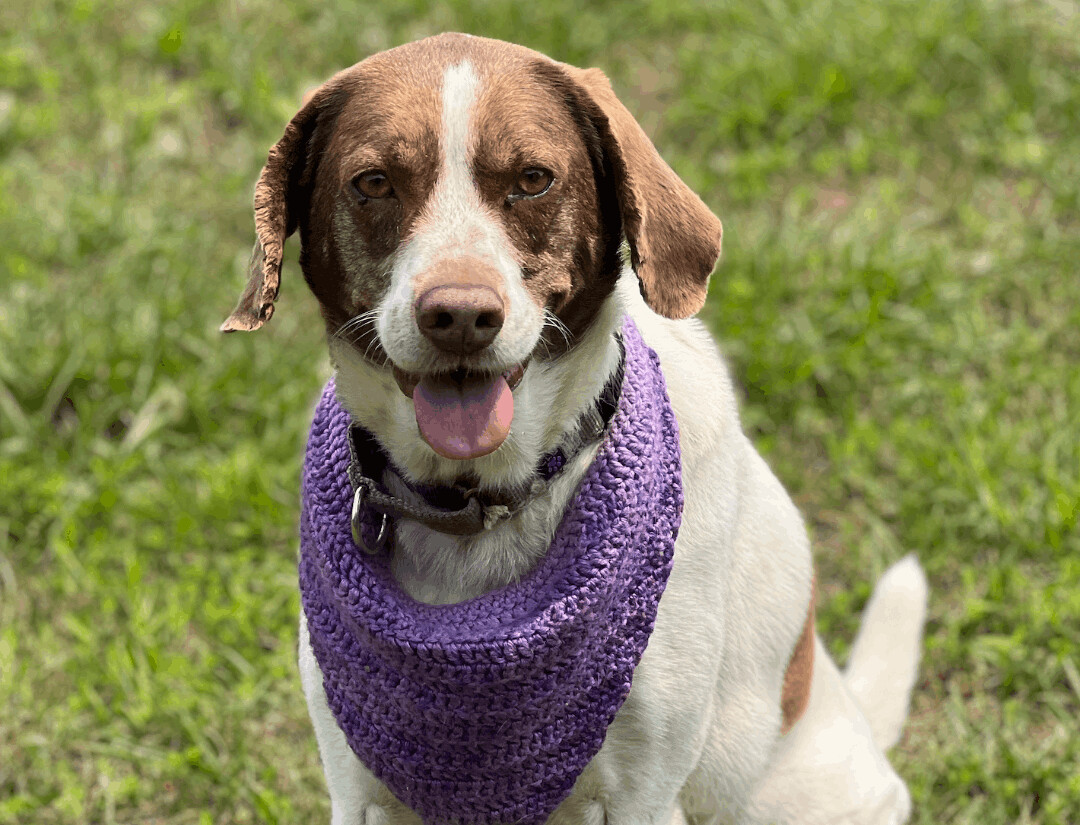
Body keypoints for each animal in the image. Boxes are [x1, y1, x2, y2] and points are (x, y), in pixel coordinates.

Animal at [221, 32, 928, 825]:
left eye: (533, 179)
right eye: (373, 183)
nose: (460, 316)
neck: (481, 504)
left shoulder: (643, 792)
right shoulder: (358, 787)